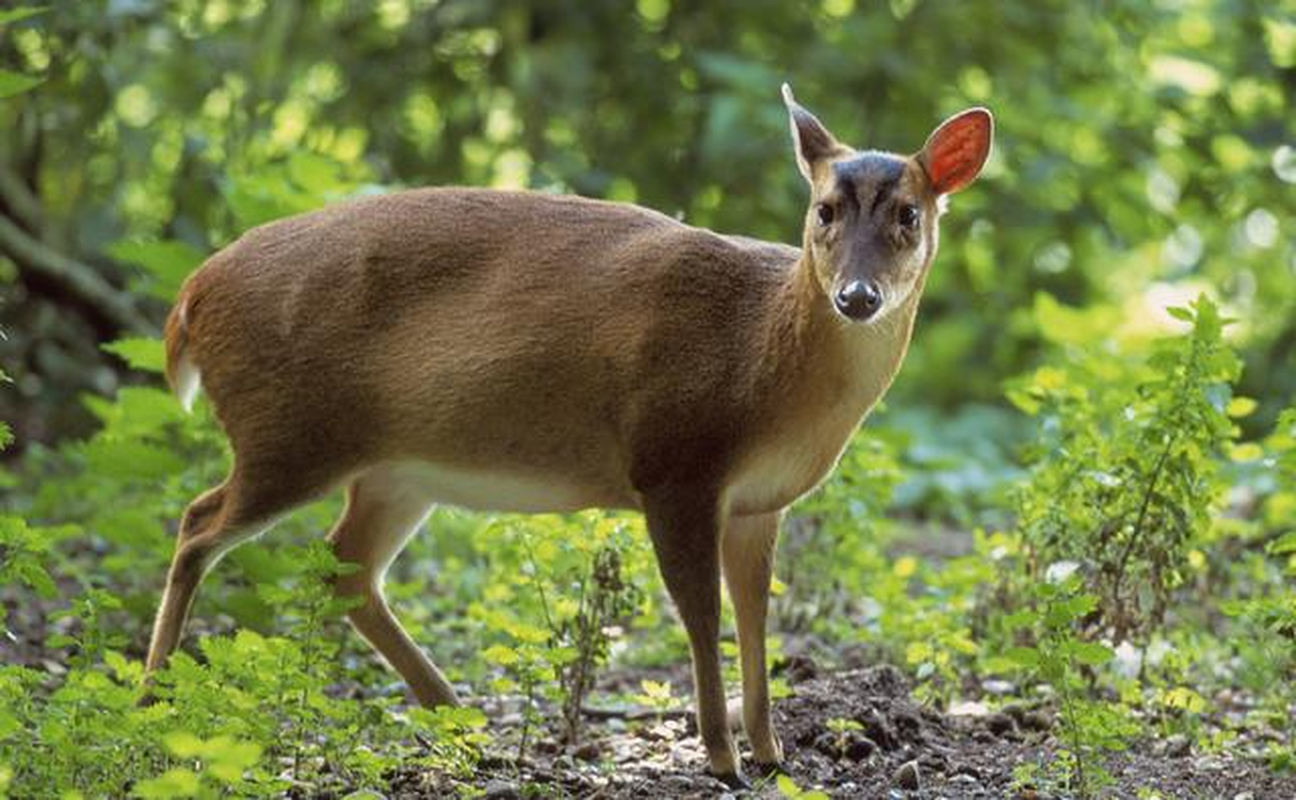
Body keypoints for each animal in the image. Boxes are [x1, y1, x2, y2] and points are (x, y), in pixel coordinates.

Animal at [141, 84, 990, 783]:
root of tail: (190, 299)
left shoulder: (760, 500)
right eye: (824, 211)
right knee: (197, 523)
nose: (856, 296)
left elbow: (757, 615)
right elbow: (702, 613)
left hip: (395, 470)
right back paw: (152, 703)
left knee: (343, 567)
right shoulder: (674, 463)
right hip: (288, 432)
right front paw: (722, 760)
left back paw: (462, 722)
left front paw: (773, 752)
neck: (762, 355)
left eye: (909, 214)